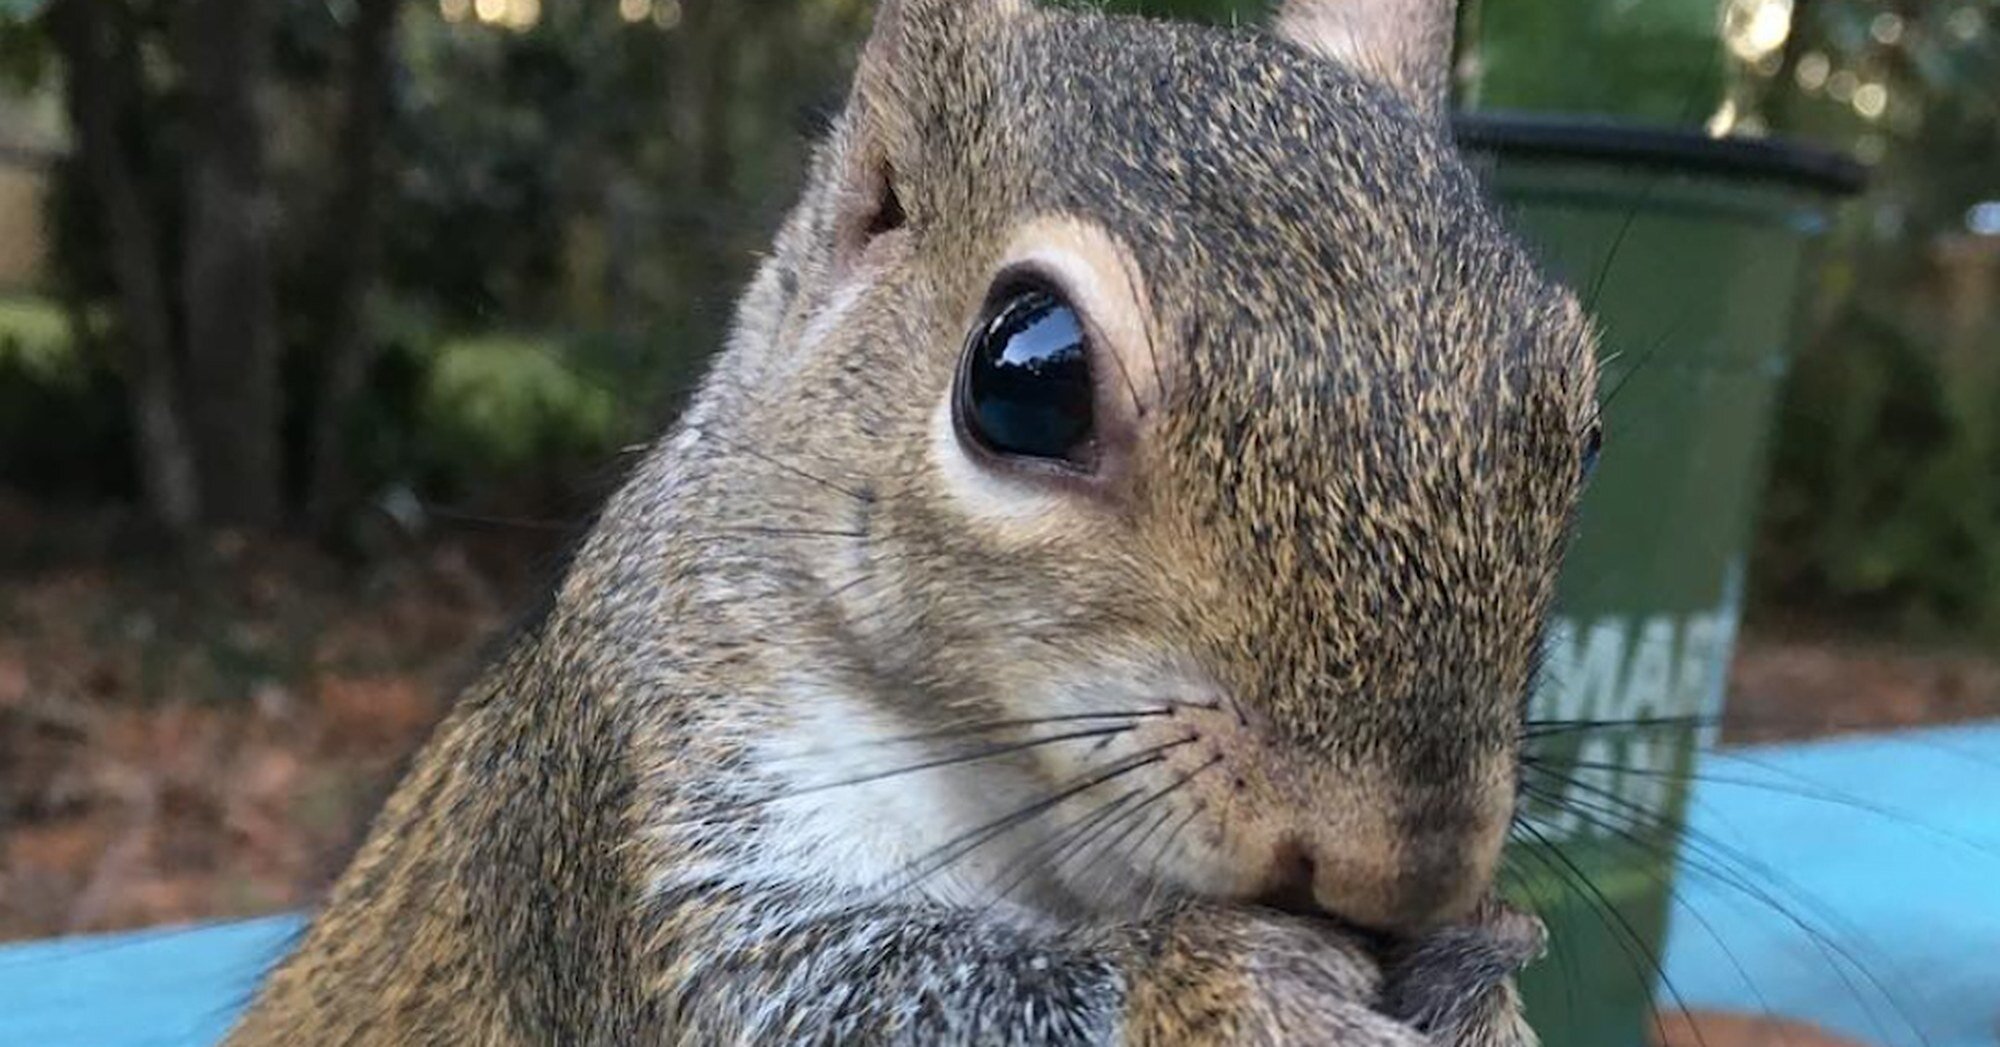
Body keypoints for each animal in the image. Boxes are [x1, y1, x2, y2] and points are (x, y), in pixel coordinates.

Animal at [229, 0, 1601, 1043]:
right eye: (1024, 381)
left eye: (1586, 433)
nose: (1399, 869)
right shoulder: (635, 816)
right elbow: (826, 998)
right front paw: (1235, 979)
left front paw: (1476, 980)